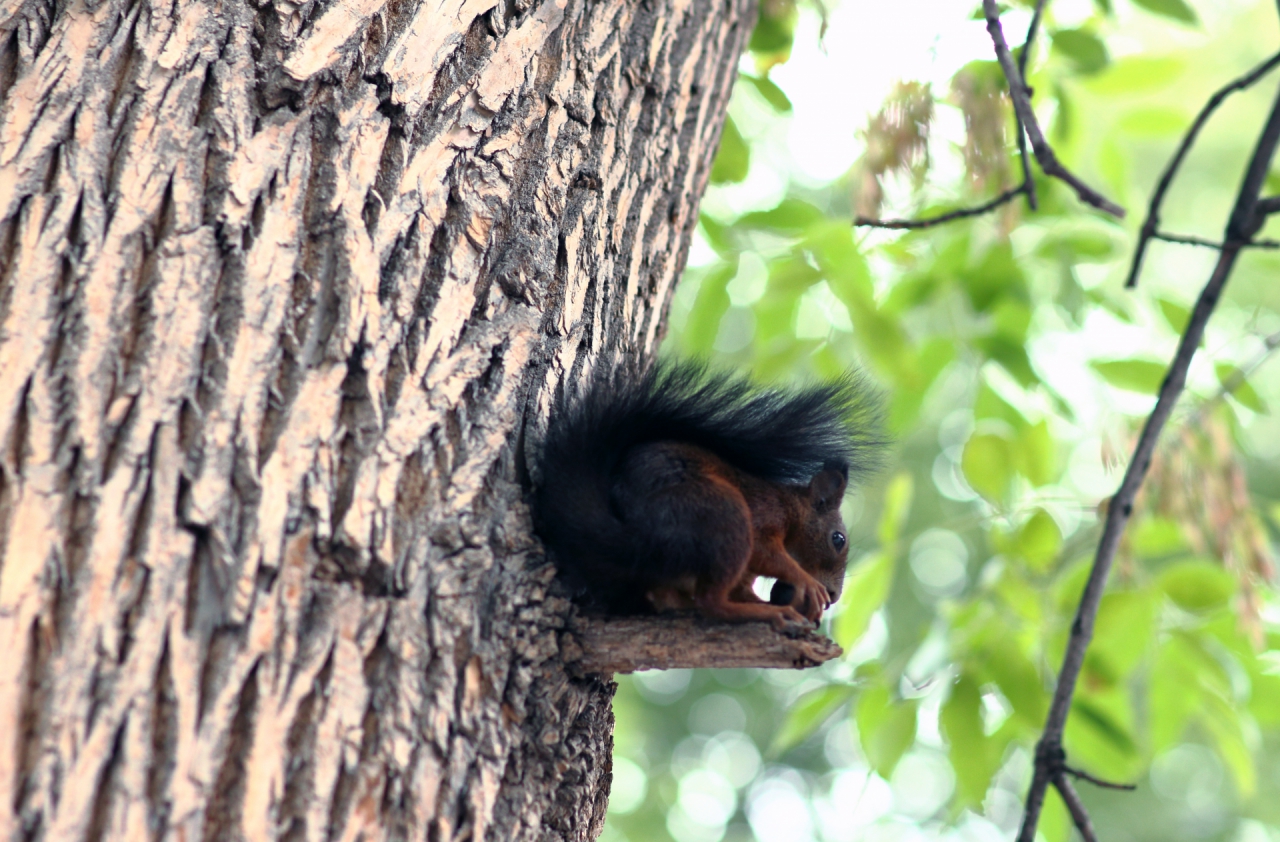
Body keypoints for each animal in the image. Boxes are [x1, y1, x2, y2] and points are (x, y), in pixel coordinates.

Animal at [535, 358, 885, 627]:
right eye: (838, 540)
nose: (834, 596)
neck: (791, 507)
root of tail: (642, 540)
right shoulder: (765, 515)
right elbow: (766, 552)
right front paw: (806, 581)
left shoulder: (746, 574)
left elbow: (745, 587)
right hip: (723, 514)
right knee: (711, 602)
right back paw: (768, 613)